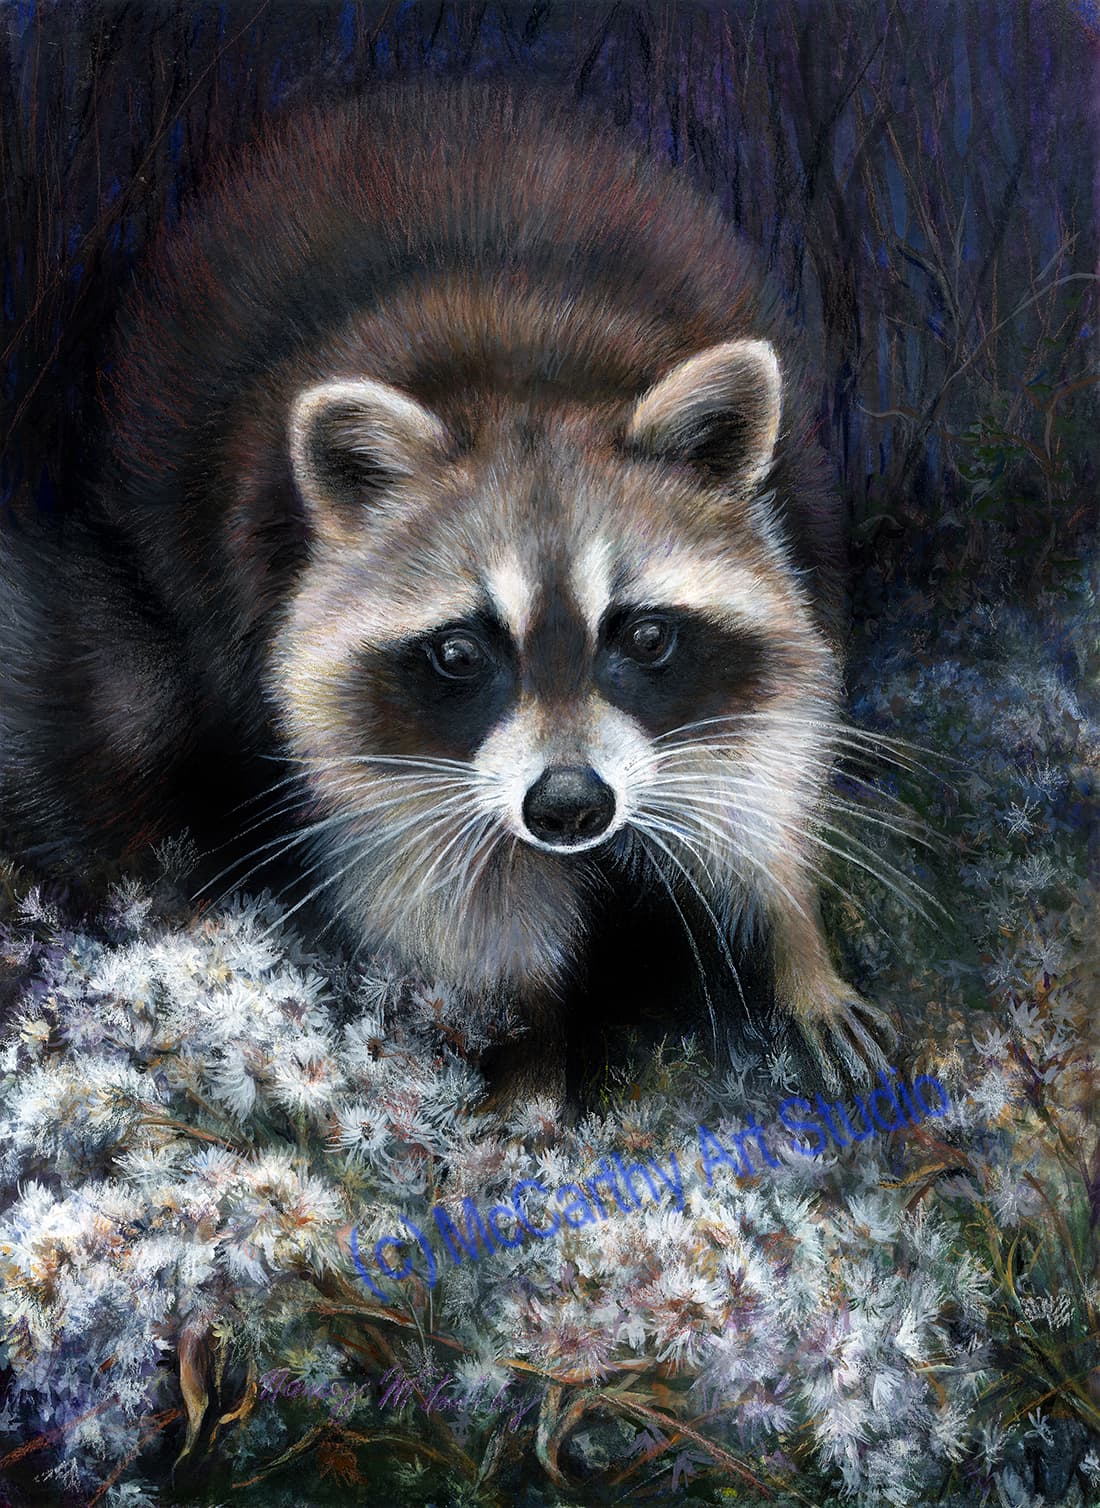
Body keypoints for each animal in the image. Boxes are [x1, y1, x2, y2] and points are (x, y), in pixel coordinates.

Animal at [1, 84, 896, 1103]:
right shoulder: (367, 743)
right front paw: (527, 1058)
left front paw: (798, 945)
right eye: (461, 651)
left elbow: (763, 769)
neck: (528, 377)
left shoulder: (794, 563)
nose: (569, 807)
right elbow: (454, 891)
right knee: (117, 716)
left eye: (644, 638)